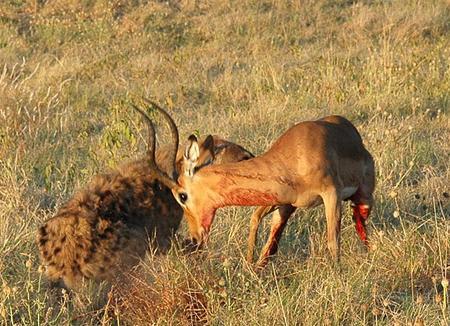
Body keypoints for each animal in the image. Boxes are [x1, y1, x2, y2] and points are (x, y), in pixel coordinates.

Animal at [148, 113, 376, 266]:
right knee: (270, 242)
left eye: (182, 195)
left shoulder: (331, 194)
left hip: (363, 198)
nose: (195, 238)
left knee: (359, 220)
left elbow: (333, 242)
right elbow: (257, 225)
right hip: (286, 207)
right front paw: (249, 266)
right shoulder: (283, 201)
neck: (294, 155)